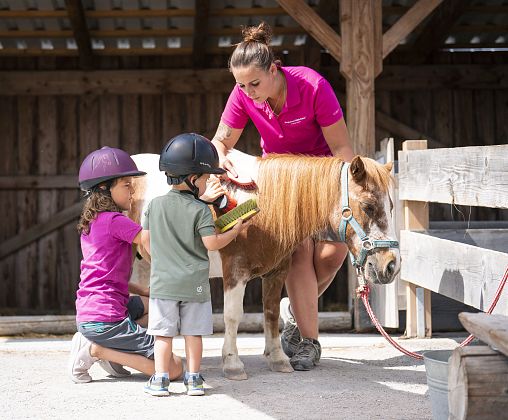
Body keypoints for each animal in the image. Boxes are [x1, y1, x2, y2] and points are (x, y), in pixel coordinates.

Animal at [130, 150, 400, 380]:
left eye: (391, 206)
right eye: (368, 206)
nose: (391, 266)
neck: (261, 210)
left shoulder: (276, 273)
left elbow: (270, 314)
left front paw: (277, 359)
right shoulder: (235, 272)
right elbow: (232, 316)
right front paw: (232, 363)